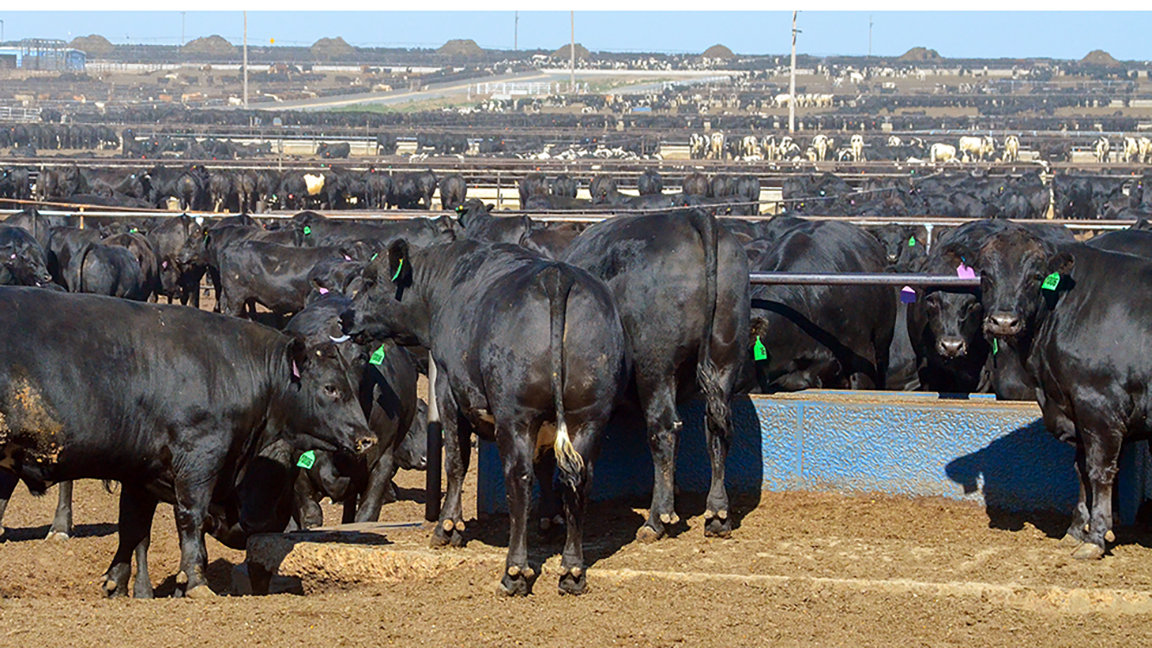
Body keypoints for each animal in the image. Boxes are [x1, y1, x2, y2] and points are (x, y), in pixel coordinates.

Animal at [1, 287, 373, 594]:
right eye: (330, 388)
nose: (367, 438)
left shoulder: (140, 472)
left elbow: (131, 526)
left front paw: (115, 583)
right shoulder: (200, 458)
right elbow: (190, 517)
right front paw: (195, 581)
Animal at [345, 239, 626, 594]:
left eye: (370, 281)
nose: (344, 317)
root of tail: (556, 275)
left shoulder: (447, 389)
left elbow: (456, 461)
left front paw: (447, 527)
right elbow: (546, 466)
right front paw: (550, 519)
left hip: (516, 417)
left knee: (519, 479)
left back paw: (514, 572)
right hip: (588, 417)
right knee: (578, 479)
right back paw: (572, 571)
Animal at [562, 209, 751, 537]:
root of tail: (692, 216)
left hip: (656, 366)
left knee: (663, 428)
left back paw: (657, 519)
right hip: (725, 357)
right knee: (715, 428)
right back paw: (717, 513)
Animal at [976, 229, 1152, 558]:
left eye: (1035, 276)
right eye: (985, 274)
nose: (1004, 322)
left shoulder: (1098, 405)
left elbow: (1099, 470)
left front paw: (1096, 536)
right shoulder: (1073, 406)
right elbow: (1080, 470)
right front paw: (1075, 530)